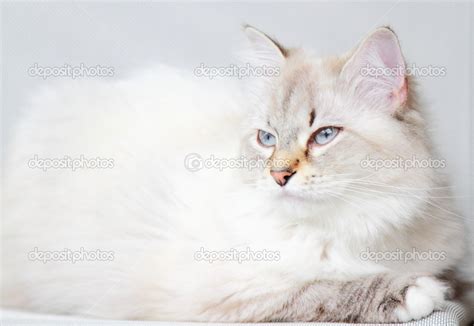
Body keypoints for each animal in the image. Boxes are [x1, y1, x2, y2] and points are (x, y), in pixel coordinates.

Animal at [1, 26, 472, 324]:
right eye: (267, 138)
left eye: (323, 136)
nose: (279, 175)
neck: (354, 225)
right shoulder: (231, 292)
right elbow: (321, 289)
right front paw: (415, 292)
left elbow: (456, 281)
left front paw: (443, 288)